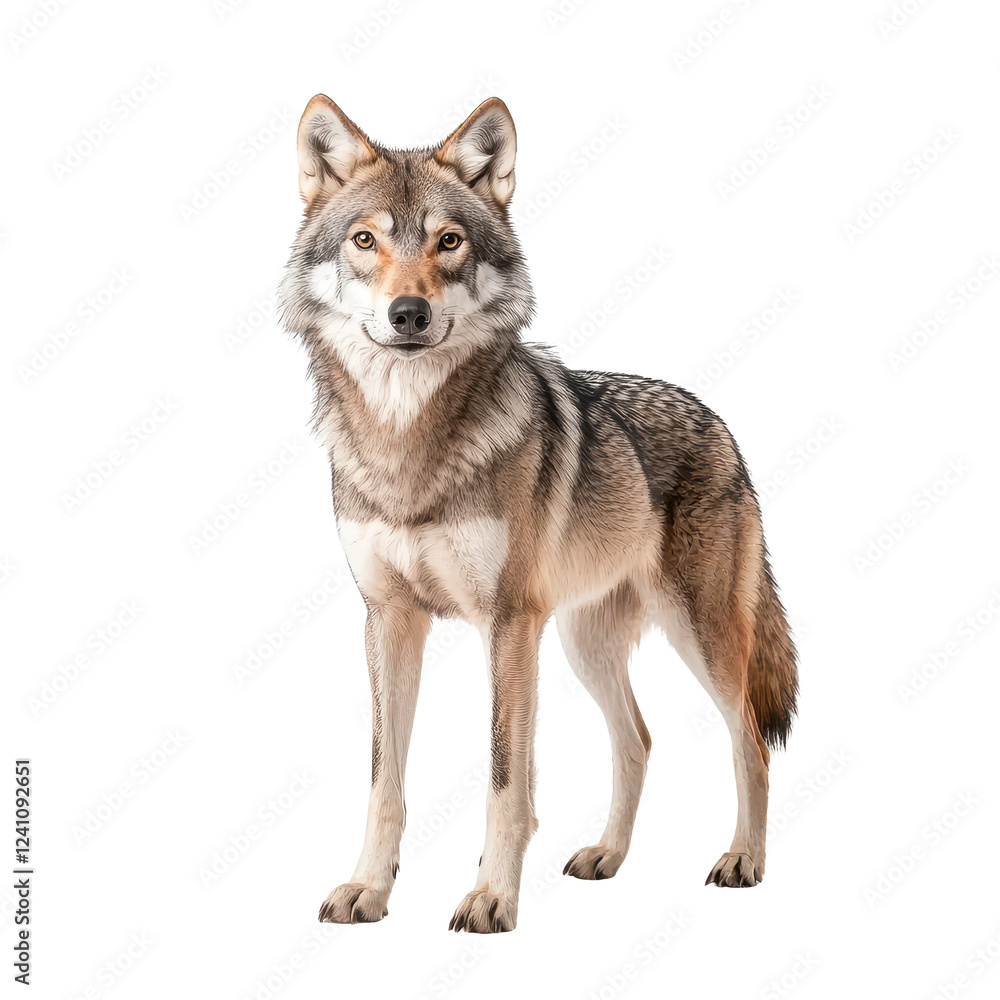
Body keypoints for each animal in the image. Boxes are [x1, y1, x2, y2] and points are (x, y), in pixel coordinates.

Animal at [279, 94, 798, 933]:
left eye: (449, 241)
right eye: (365, 240)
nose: (408, 313)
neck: (407, 447)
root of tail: (721, 424)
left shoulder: (508, 625)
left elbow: (504, 780)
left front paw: (492, 897)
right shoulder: (388, 620)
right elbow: (384, 780)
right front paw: (368, 888)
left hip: (702, 638)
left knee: (749, 742)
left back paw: (743, 861)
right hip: (585, 646)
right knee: (639, 739)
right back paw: (608, 856)